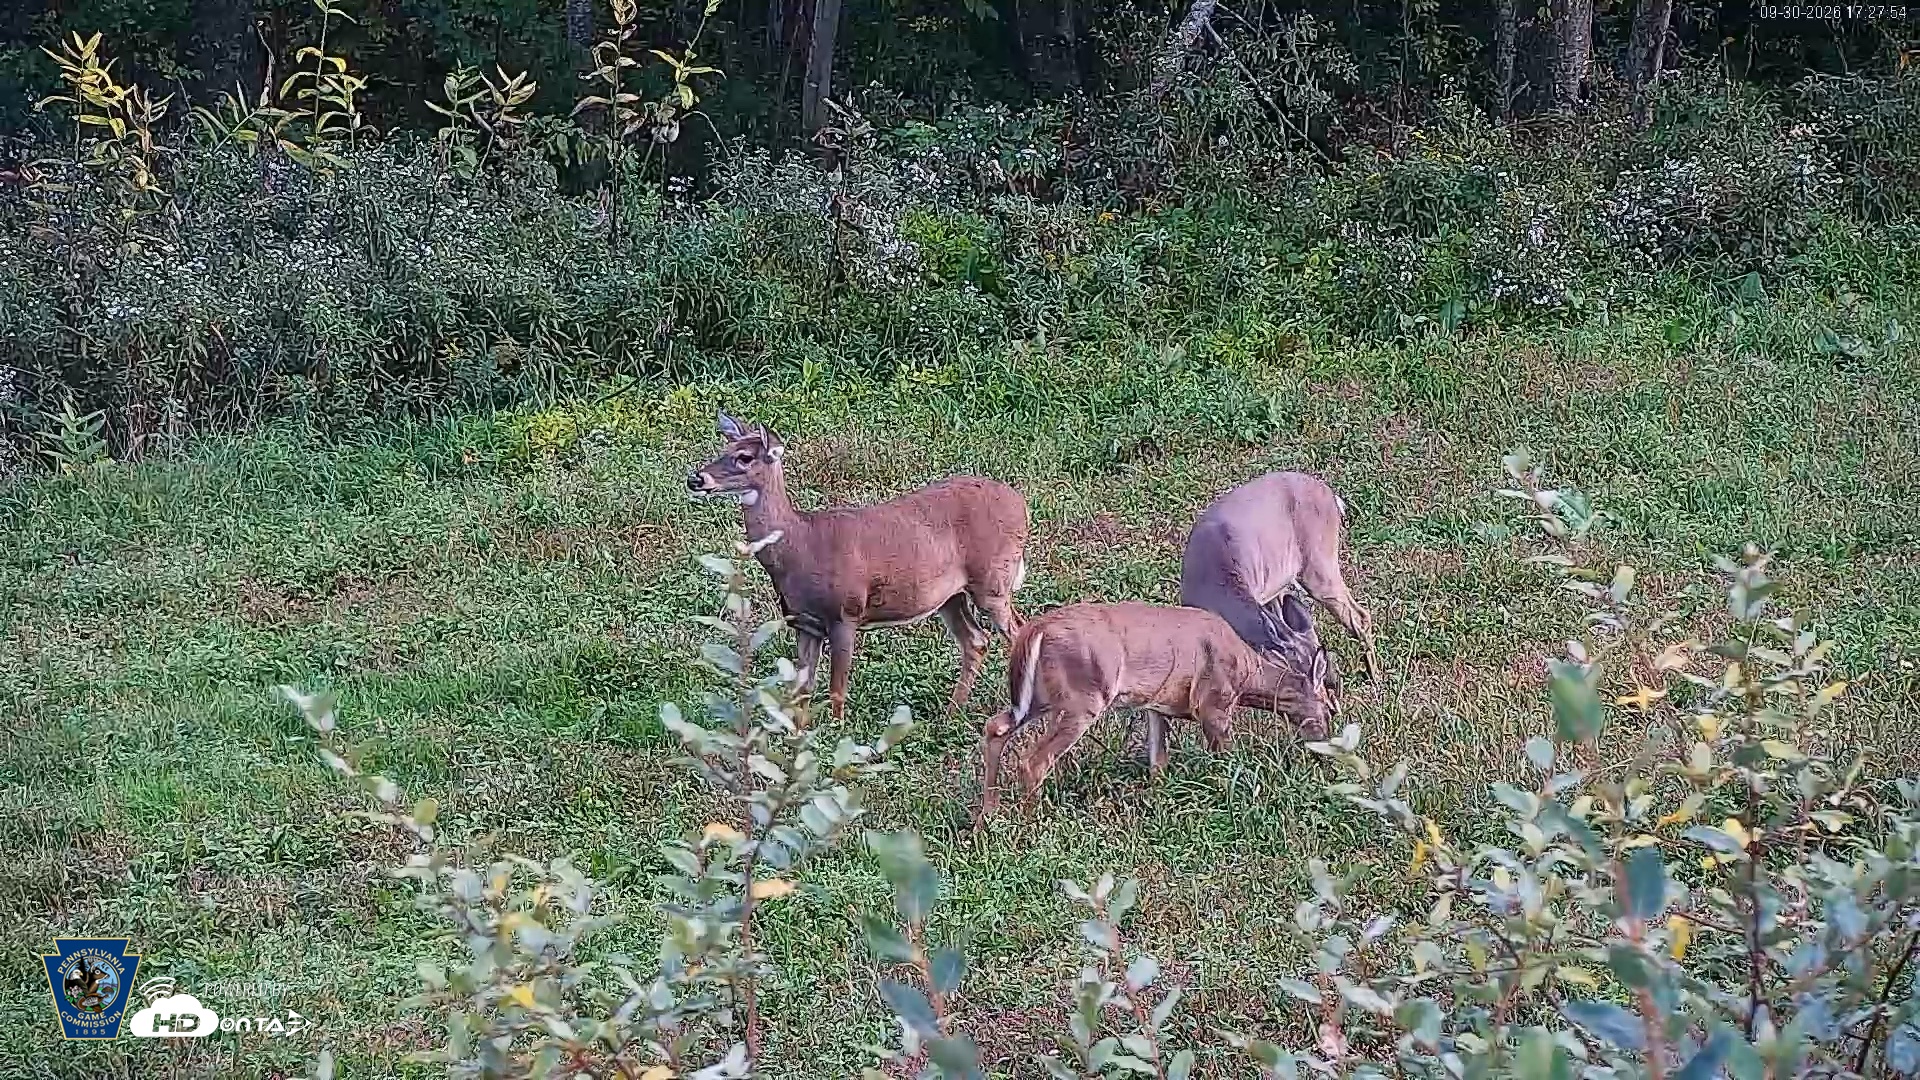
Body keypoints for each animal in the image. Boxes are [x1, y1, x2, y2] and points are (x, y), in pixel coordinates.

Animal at [687, 412, 1030, 723]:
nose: (696, 478)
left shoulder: (846, 613)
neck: (801, 547)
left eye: (744, 457)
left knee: (1018, 631)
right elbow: (802, 689)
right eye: (724, 448)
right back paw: (950, 715)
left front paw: (836, 735)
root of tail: (1021, 504)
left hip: (993, 580)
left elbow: (836, 690)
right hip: (950, 595)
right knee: (976, 640)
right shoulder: (804, 622)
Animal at [976, 600, 1331, 818]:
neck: (1245, 672)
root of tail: (1033, 632)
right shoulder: (1214, 704)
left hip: (1039, 698)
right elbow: (1227, 760)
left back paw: (987, 819)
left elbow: (1157, 763)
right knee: (1034, 760)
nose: (1326, 746)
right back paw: (1031, 825)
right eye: (1329, 708)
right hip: (1081, 698)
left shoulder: (1157, 706)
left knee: (995, 728)